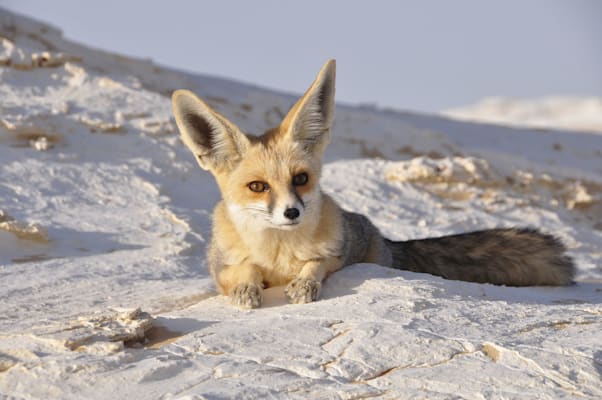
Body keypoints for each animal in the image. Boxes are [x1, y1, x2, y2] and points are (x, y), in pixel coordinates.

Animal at [172, 59, 572, 310]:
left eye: (301, 179)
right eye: (258, 187)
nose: (291, 212)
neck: (278, 252)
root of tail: (386, 240)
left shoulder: (341, 250)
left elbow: (317, 263)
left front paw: (304, 282)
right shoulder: (220, 267)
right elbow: (243, 271)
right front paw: (246, 287)